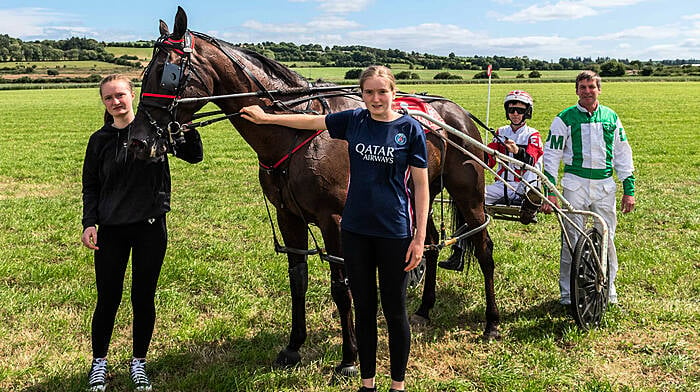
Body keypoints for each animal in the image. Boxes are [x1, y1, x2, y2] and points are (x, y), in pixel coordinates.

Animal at [130, 5, 498, 374]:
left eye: (166, 72)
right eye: (145, 71)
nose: (138, 141)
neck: (294, 132)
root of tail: (457, 112)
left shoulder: (334, 219)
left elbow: (341, 287)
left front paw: (349, 358)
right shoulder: (288, 217)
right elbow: (298, 281)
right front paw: (294, 346)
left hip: (468, 192)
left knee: (484, 247)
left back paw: (491, 322)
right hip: (421, 193)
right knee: (430, 243)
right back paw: (423, 308)